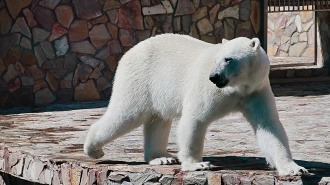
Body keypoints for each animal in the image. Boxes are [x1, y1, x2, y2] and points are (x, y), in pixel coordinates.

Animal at [84, 34, 308, 175]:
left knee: (158, 119)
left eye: (228, 59)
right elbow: (195, 118)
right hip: (140, 79)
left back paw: (161, 157)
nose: (214, 76)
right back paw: (93, 149)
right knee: (126, 114)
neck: (238, 87)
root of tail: (129, 52)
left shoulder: (256, 90)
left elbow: (268, 126)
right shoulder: (209, 88)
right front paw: (197, 165)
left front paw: (294, 168)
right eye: (216, 58)